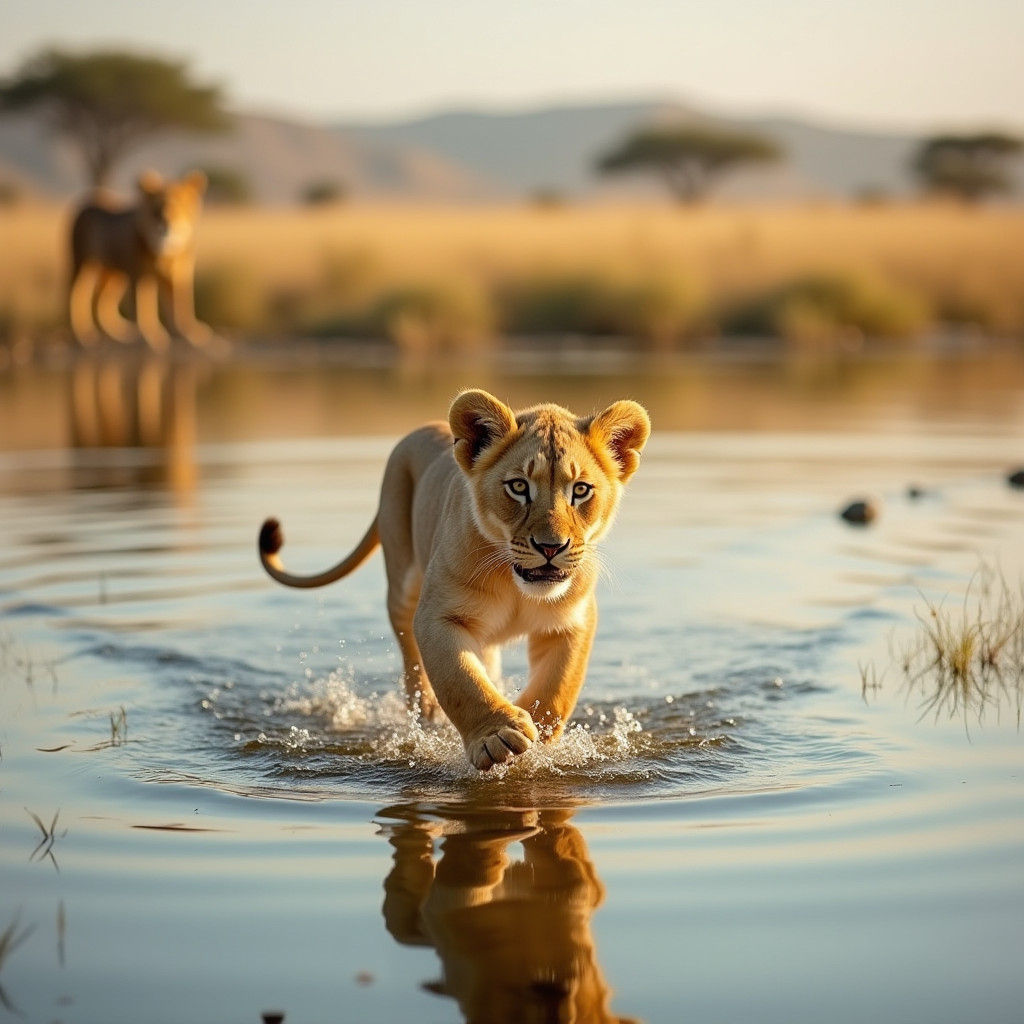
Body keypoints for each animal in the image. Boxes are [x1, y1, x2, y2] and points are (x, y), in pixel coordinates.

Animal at [68, 169, 213, 351]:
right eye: (157, 208)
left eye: (180, 205)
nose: (166, 223)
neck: (165, 248)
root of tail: (89, 199)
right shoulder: (140, 275)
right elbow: (143, 309)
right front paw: (149, 338)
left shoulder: (177, 274)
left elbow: (182, 305)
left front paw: (188, 334)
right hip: (83, 264)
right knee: (76, 296)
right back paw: (82, 336)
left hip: (114, 274)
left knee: (102, 301)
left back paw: (118, 335)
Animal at [258, 388, 650, 770]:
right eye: (519, 487)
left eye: (580, 490)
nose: (551, 547)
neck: (515, 584)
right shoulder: (438, 615)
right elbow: (461, 680)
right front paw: (497, 736)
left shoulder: (571, 621)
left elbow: (557, 686)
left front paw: (539, 731)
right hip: (403, 584)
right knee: (413, 660)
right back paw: (428, 709)